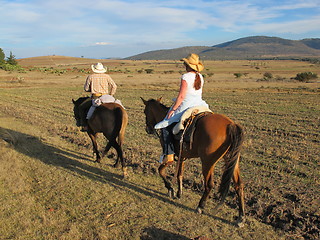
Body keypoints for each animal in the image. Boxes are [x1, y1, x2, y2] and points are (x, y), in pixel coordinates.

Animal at [141, 97, 245, 227]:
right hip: (232, 161)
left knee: (209, 184)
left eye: (145, 111)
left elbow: (160, 170)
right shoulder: (182, 156)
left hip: (207, 162)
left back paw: (200, 206)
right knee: (239, 185)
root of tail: (231, 124)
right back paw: (241, 217)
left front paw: (170, 189)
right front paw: (179, 193)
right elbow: (180, 175)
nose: (148, 129)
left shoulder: (170, 155)